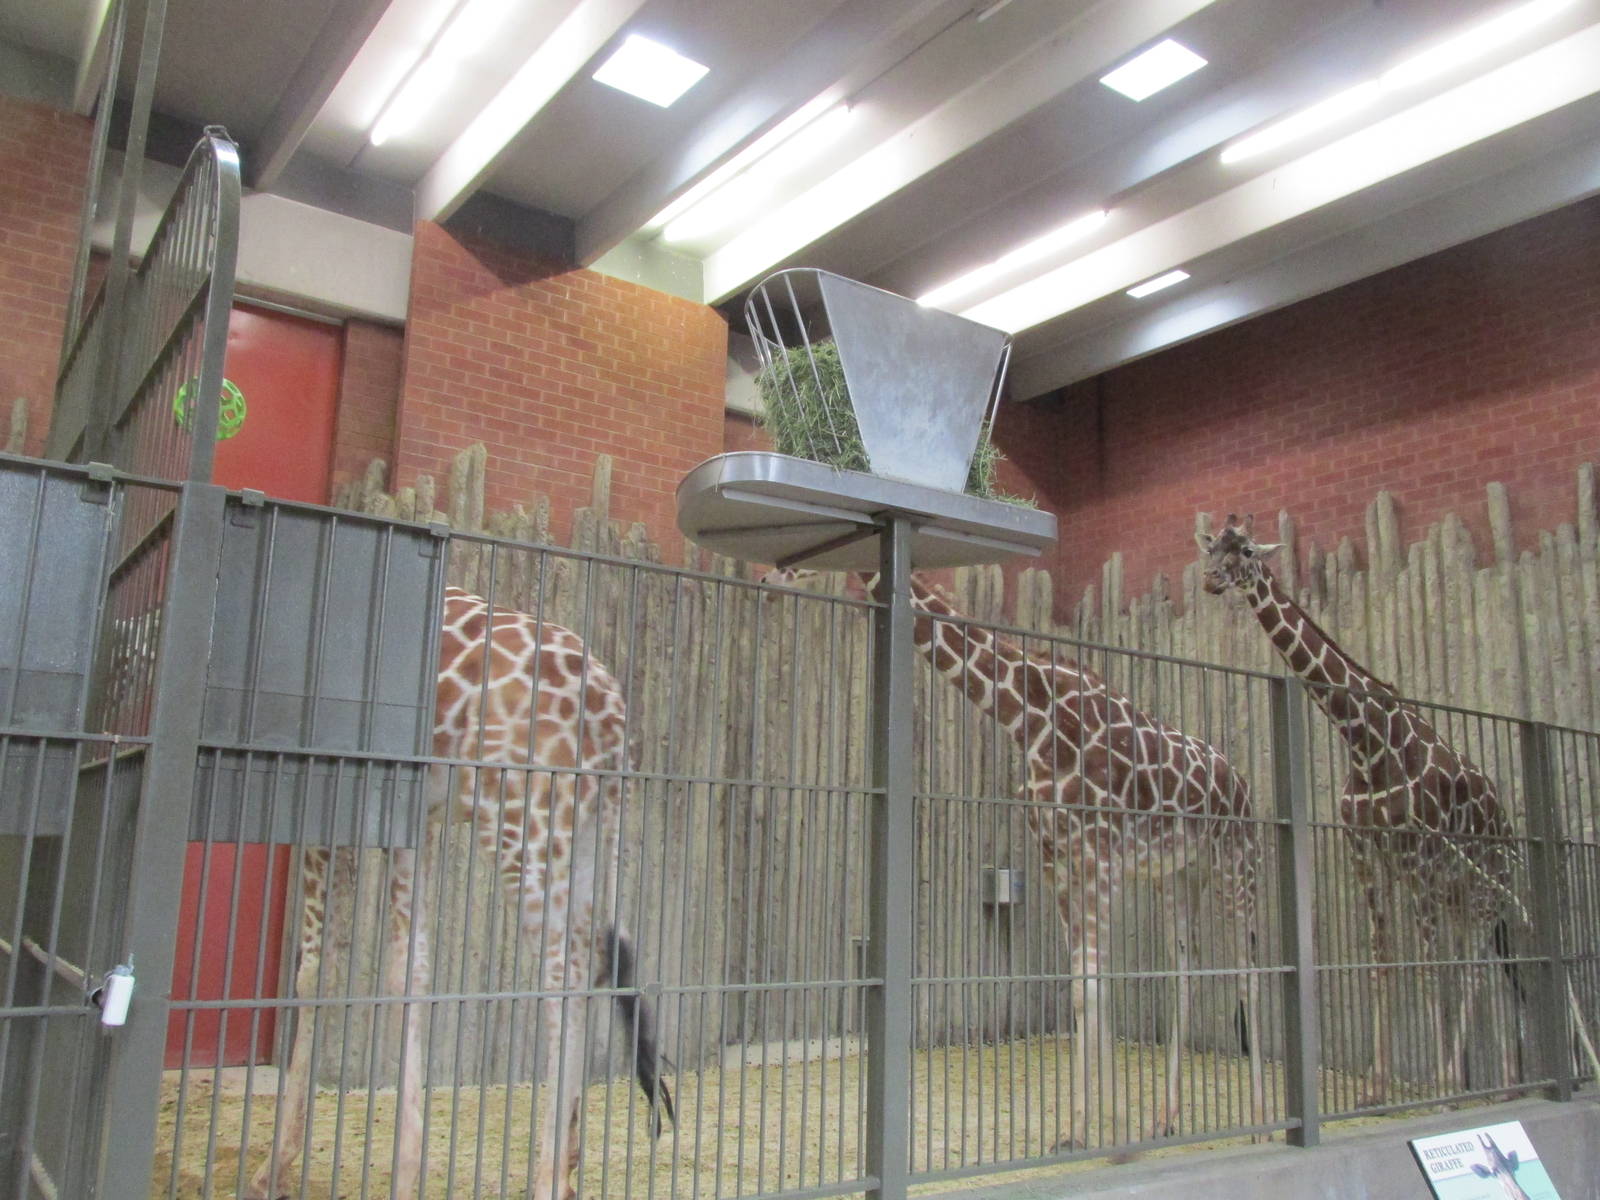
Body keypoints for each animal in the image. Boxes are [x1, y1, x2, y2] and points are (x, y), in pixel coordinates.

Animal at [244, 585, 673, 1200]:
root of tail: (612, 714)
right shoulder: (412, 818)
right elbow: (409, 970)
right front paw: (405, 1169)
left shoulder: (324, 793)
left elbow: (313, 970)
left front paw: (274, 1168)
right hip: (589, 830)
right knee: (595, 959)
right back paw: (568, 1162)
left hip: (522, 823)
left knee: (561, 974)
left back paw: (547, 1176)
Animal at [763, 568, 1266, 1148]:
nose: (768, 578)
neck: (1030, 718)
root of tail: (1243, 785)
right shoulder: (1058, 863)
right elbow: (1083, 990)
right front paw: (1079, 1128)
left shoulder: (1099, 858)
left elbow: (1095, 985)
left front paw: (1110, 1127)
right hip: (1180, 876)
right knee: (1186, 969)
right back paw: (1167, 1117)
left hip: (1237, 865)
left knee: (1250, 971)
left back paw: (1257, 1121)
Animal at [1196, 513, 1523, 1102]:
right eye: (1212, 549)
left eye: (1248, 550)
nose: (1212, 580)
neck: (1367, 743)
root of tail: (1505, 820)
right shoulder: (1367, 855)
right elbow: (1381, 962)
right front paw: (1377, 1084)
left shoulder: (1416, 856)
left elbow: (1428, 967)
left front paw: (1441, 1082)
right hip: (1462, 894)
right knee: (1483, 962)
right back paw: (1505, 1083)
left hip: (1485, 883)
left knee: (1479, 965)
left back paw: (1493, 1081)